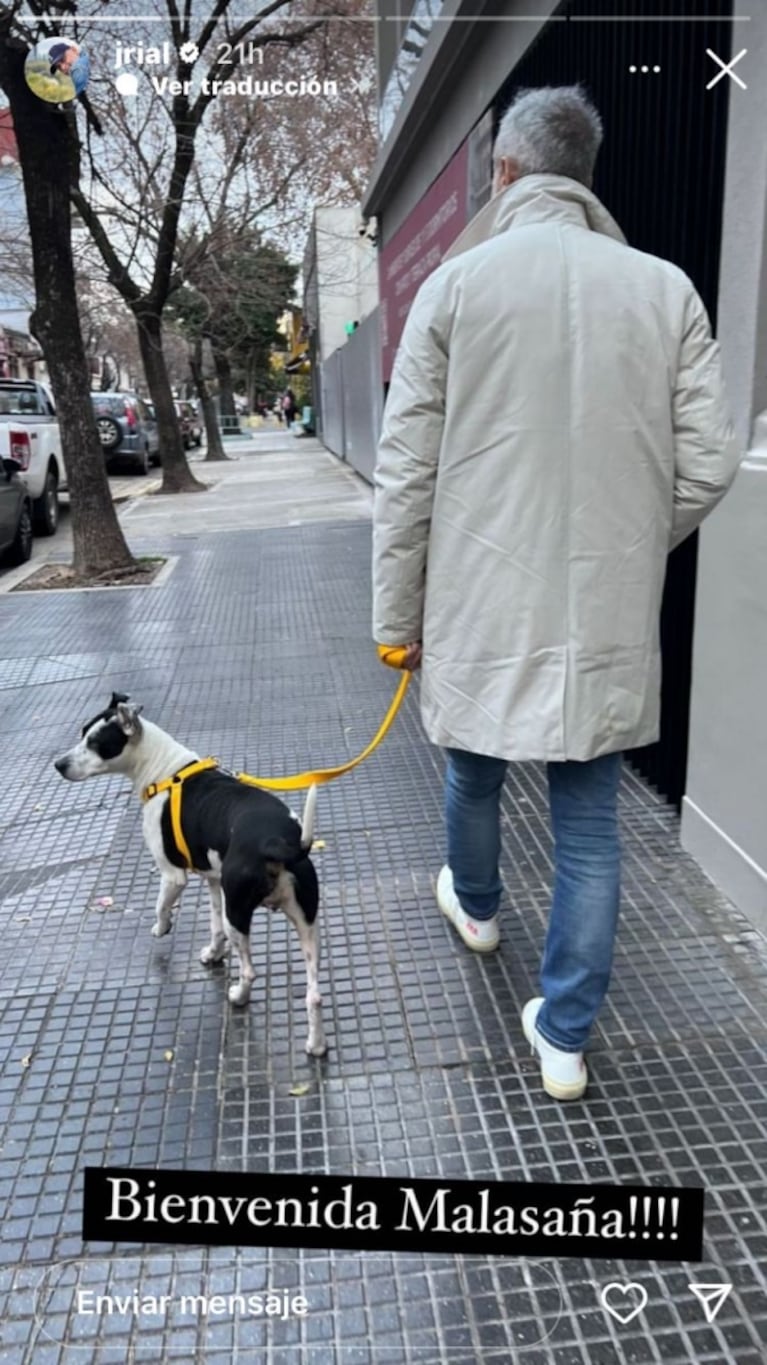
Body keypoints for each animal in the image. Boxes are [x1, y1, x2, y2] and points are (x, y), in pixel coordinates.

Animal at [54, 693, 324, 1053]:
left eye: (97, 744)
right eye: (83, 732)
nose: (58, 765)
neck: (163, 769)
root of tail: (279, 844)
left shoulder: (172, 876)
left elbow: (161, 906)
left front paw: (161, 928)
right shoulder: (213, 880)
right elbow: (213, 926)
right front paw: (214, 953)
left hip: (239, 914)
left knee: (249, 972)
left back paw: (239, 997)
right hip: (306, 924)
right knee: (314, 995)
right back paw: (316, 1045)